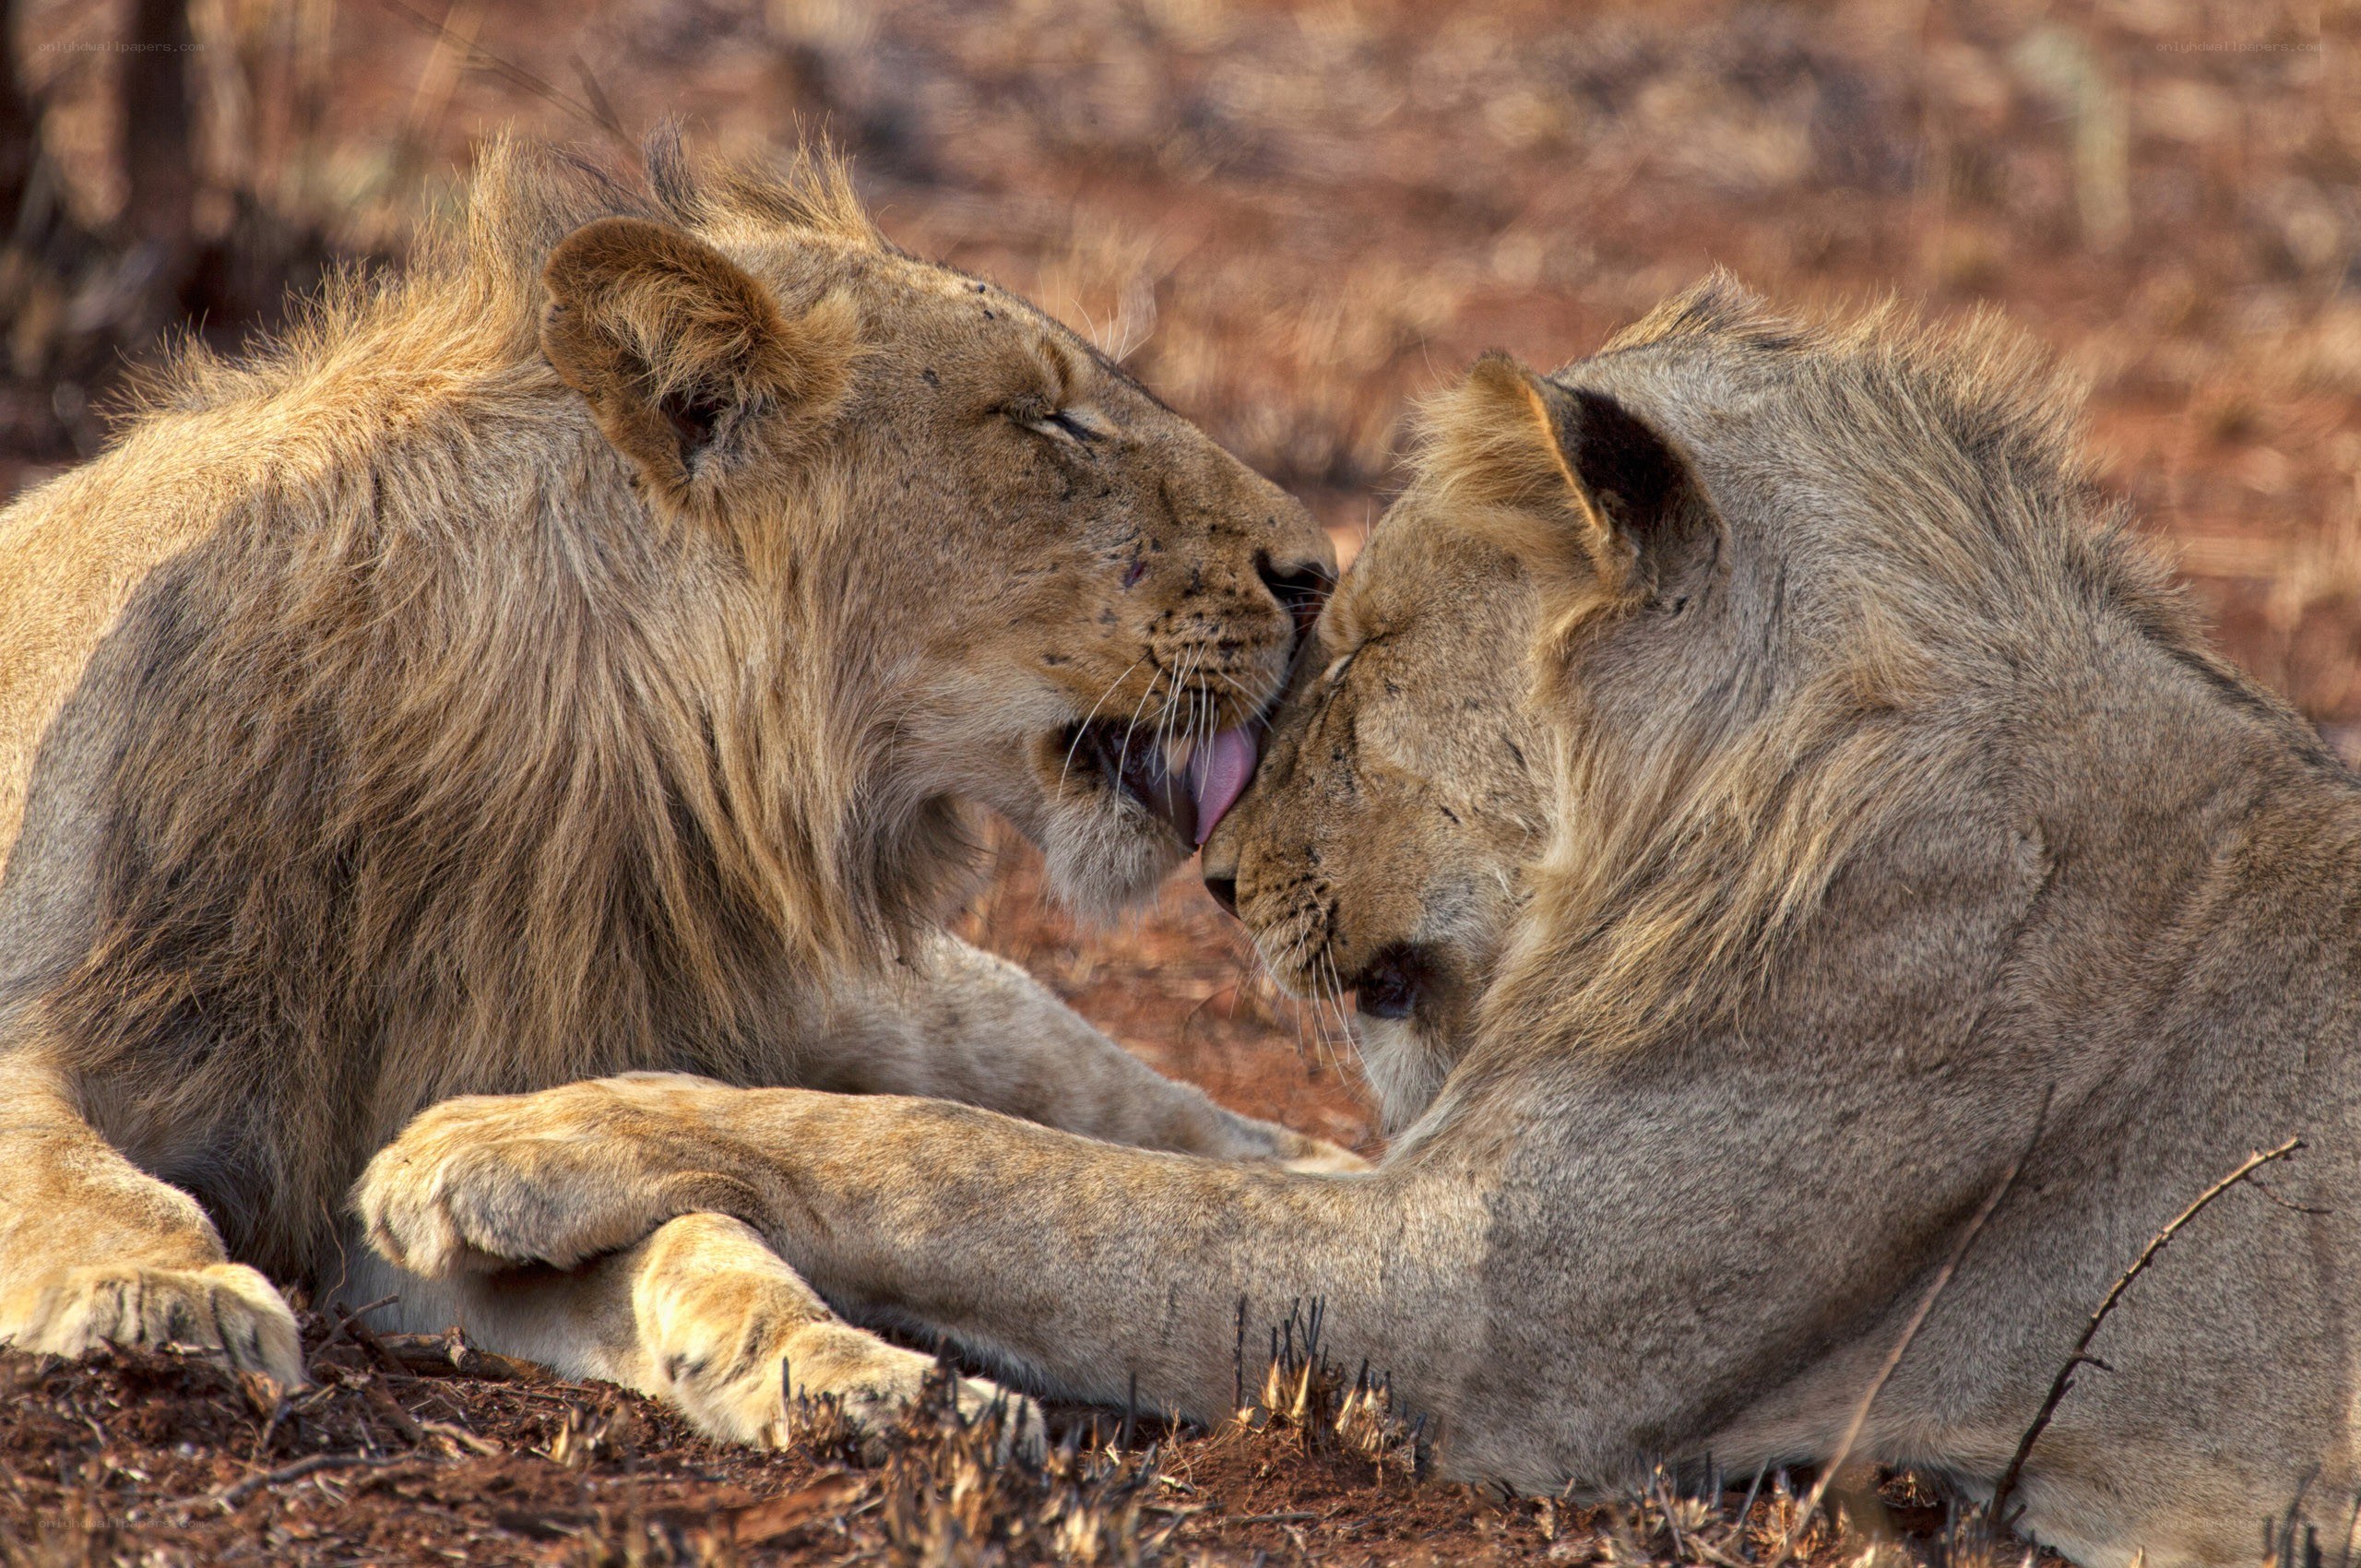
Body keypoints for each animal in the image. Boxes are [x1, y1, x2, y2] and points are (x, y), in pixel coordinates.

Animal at [0, 129, 1353, 1445]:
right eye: (1046, 420)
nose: (1317, 576)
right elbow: (73, 1165)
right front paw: (164, 1297)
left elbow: (699, 1235)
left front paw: (853, 1377)